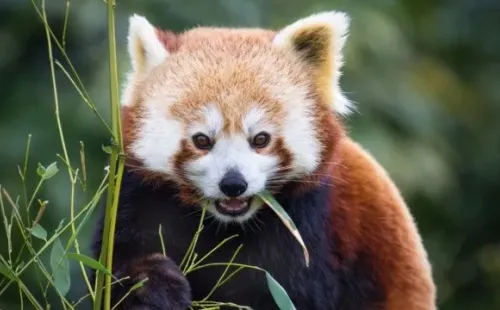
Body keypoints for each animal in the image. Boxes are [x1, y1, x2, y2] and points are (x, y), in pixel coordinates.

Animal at [93, 10, 438, 310]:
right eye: (202, 140)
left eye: (260, 139)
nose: (233, 184)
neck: (225, 224)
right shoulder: (138, 198)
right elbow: (114, 269)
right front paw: (152, 286)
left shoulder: (306, 229)